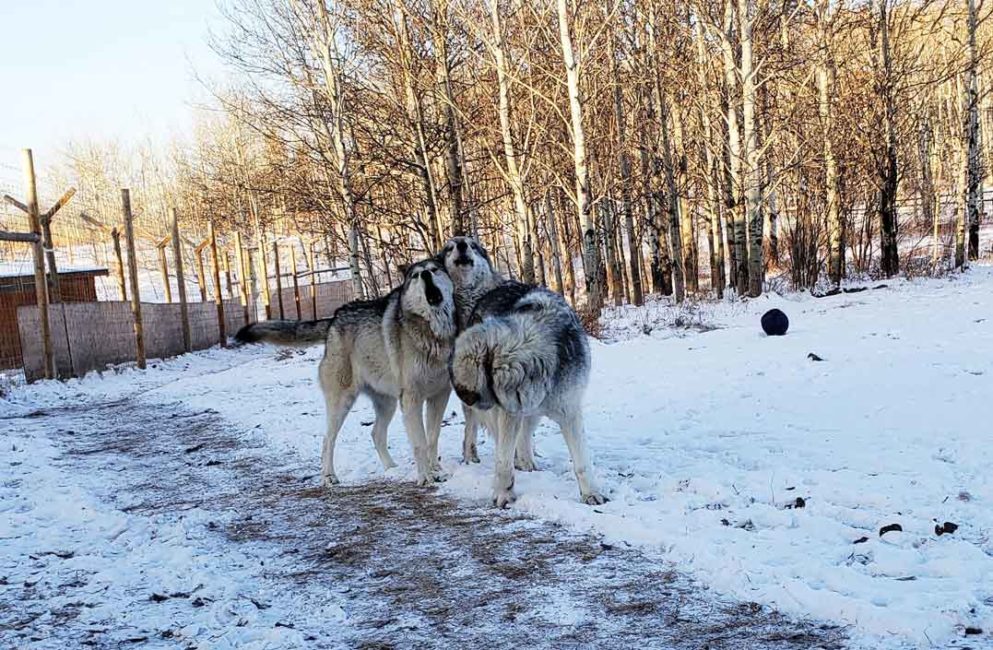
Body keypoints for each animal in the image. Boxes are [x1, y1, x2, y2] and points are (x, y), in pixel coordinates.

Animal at [240, 258, 458, 486]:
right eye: (416, 275)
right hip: (342, 403)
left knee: (375, 434)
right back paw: (329, 477)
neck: (434, 334)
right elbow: (420, 444)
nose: (425, 275)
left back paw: (391, 469)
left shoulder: (440, 395)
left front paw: (437, 472)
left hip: (388, 404)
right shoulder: (411, 399)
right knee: (327, 440)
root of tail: (333, 320)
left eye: (434, 270)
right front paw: (425, 477)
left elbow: (432, 438)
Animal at [450, 278, 604, 506]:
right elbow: (503, 460)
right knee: (474, 431)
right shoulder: (508, 413)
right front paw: (503, 494)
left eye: (463, 387)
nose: (464, 397)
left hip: (530, 413)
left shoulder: (569, 411)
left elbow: (582, 462)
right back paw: (472, 456)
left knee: (523, 435)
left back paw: (526, 461)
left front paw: (590, 494)